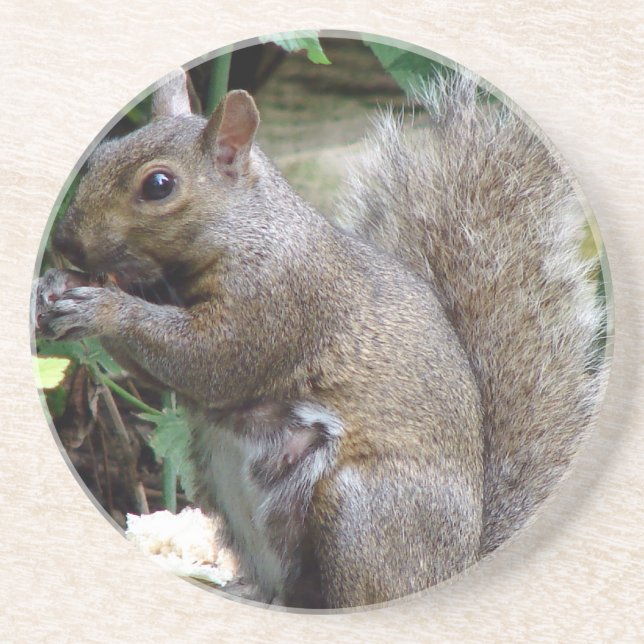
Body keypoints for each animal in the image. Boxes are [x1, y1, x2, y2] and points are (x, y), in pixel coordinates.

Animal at [33, 69, 606, 609]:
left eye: (158, 185)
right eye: (100, 155)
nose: (63, 242)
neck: (247, 232)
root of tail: (455, 566)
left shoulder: (282, 301)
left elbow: (210, 361)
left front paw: (104, 308)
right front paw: (55, 285)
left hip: (362, 513)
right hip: (226, 482)